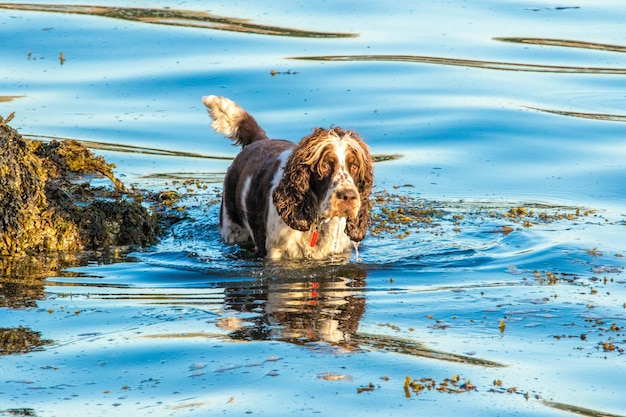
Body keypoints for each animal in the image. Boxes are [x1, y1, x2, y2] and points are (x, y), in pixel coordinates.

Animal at [202, 95, 372, 258]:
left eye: (355, 167)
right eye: (324, 166)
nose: (349, 197)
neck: (315, 221)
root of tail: (260, 140)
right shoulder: (276, 253)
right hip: (232, 228)